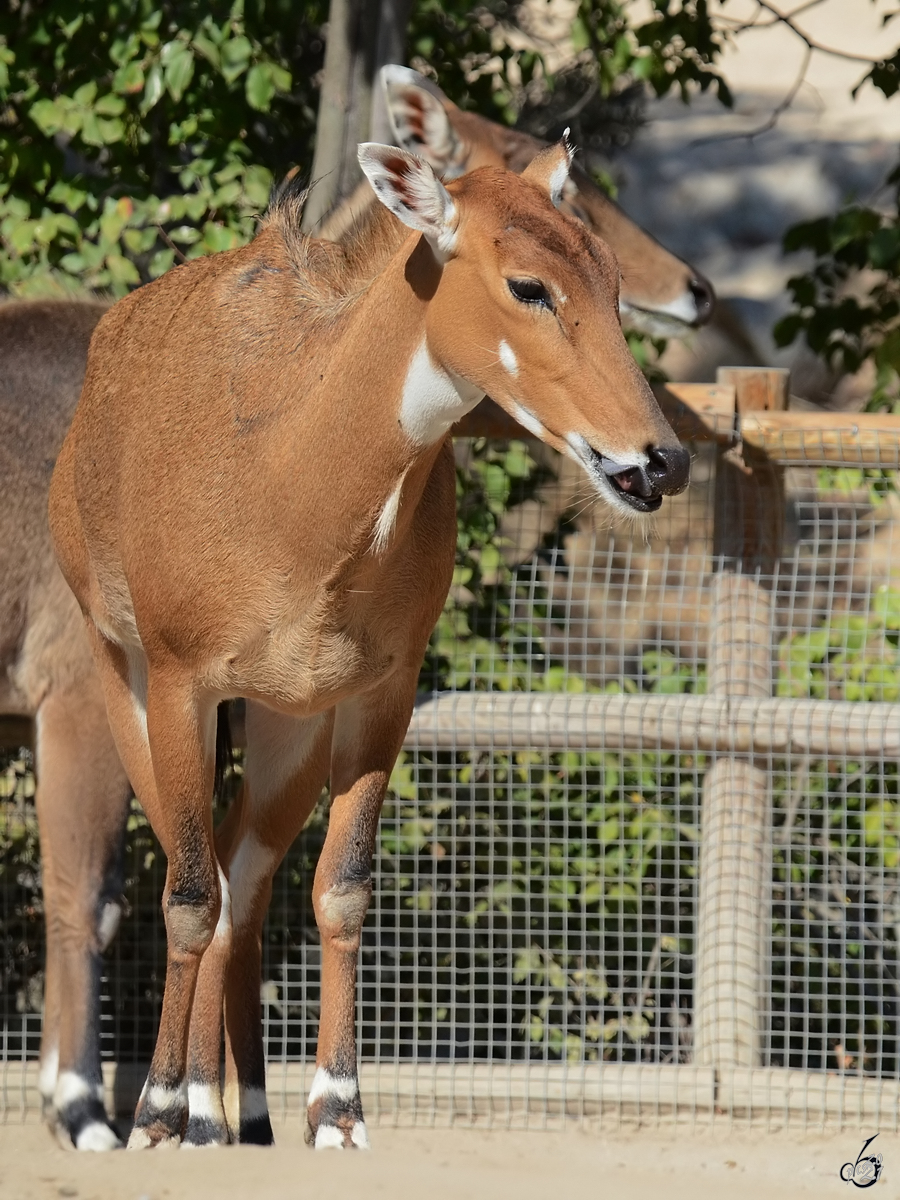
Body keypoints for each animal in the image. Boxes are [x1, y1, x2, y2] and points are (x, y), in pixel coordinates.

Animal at [47, 145, 691, 1147]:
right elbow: (186, 897)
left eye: (613, 281)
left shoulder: (378, 694)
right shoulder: (183, 681)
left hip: (287, 728)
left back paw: (229, 1113)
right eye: (528, 284)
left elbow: (340, 889)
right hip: (128, 685)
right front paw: (152, 1110)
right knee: (203, 880)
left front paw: (337, 1107)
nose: (661, 460)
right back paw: (185, 1107)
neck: (295, 477)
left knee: (244, 882)